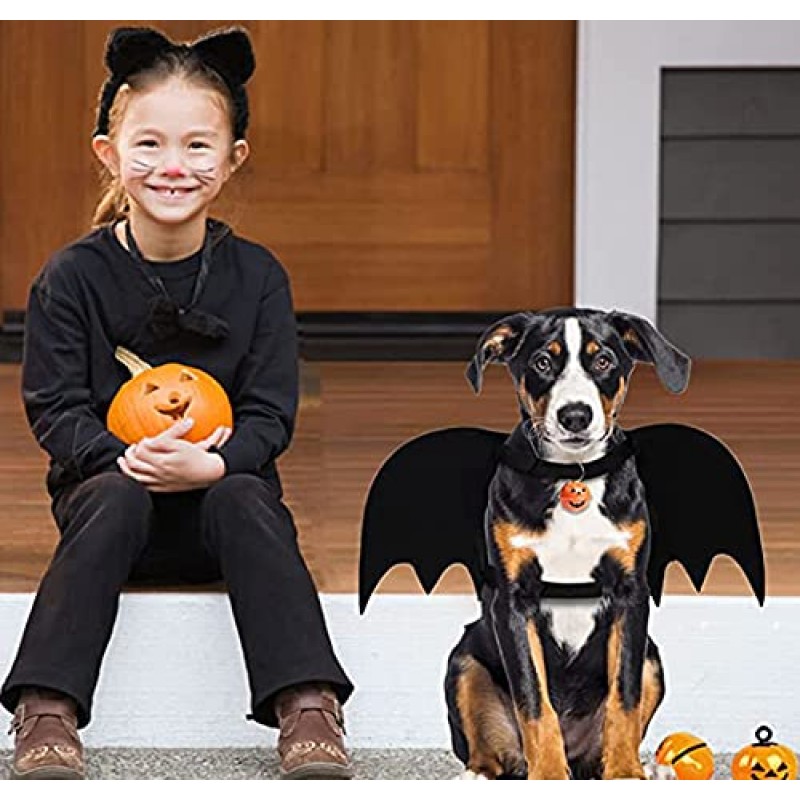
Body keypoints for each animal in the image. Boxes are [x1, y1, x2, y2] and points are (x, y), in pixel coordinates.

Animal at [440, 310, 692, 780]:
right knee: (488, 750)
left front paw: (626, 774)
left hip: (653, 659)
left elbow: (624, 698)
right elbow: (534, 702)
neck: (572, 475)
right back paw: (477, 775)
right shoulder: (512, 602)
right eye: (542, 362)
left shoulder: (631, 595)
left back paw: (651, 769)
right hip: (464, 661)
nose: (575, 415)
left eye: (604, 360)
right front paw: (550, 776)